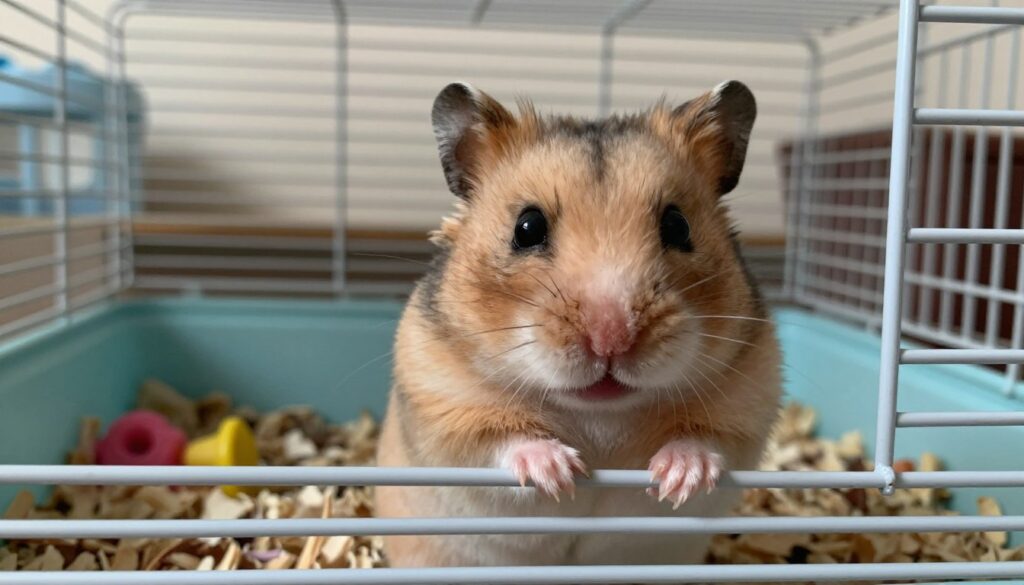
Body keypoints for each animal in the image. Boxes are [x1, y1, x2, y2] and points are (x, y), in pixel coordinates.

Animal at [375, 80, 782, 567]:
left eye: (678, 226)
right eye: (527, 227)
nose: (611, 339)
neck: (599, 414)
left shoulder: (748, 405)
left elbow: (709, 441)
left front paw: (679, 477)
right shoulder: (444, 409)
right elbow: (501, 440)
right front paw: (559, 471)